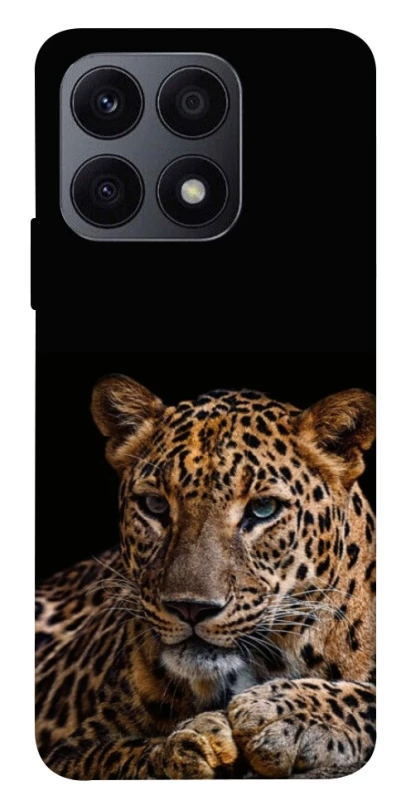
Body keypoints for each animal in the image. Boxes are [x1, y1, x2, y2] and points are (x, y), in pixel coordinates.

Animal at [35, 374, 376, 779]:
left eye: (263, 509)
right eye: (155, 505)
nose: (191, 609)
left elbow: (368, 697)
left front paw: (283, 713)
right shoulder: (71, 751)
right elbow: (120, 757)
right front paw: (187, 746)